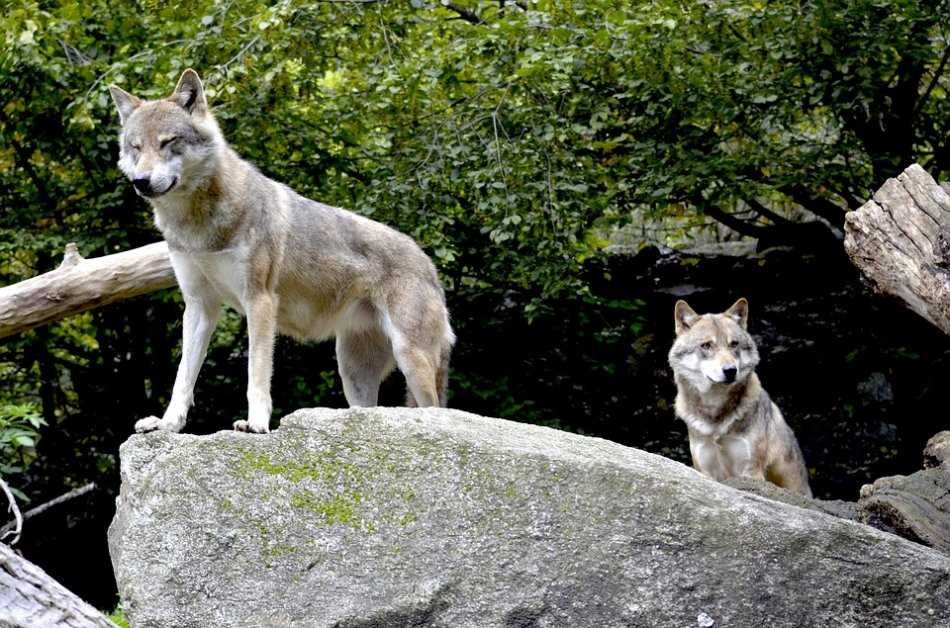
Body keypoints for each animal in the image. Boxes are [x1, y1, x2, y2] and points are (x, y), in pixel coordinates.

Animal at [108, 67, 458, 432]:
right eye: (135, 147)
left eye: (167, 142)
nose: (141, 181)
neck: (198, 224)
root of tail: (430, 265)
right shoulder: (199, 305)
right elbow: (183, 378)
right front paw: (167, 424)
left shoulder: (260, 301)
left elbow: (257, 374)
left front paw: (256, 424)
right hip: (352, 374)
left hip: (410, 359)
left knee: (436, 408)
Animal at [664, 298, 816, 496]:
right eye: (706, 345)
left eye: (733, 344)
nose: (730, 370)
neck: (716, 415)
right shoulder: (706, 472)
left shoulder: (750, 472)